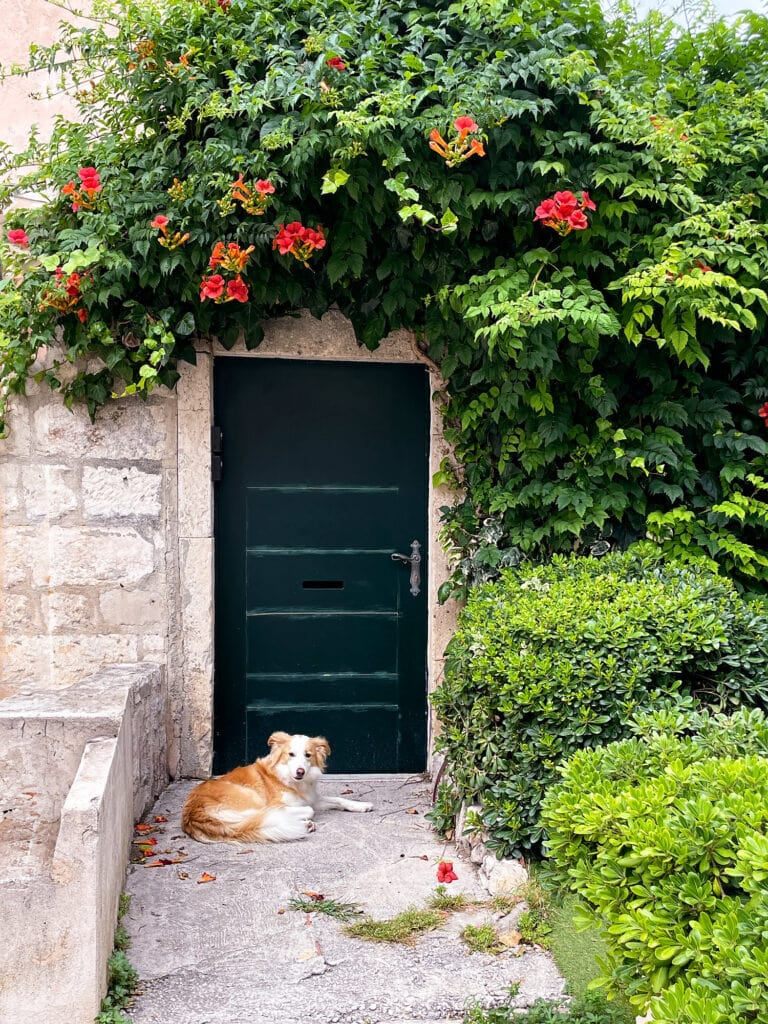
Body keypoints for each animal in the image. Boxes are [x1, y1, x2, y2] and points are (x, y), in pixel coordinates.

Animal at [180, 733, 372, 843]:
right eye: (291, 754)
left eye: (308, 755)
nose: (300, 771)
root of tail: (193, 814)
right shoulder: (280, 803)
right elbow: (308, 809)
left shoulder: (312, 798)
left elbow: (339, 800)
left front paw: (361, 805)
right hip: (253, 799)